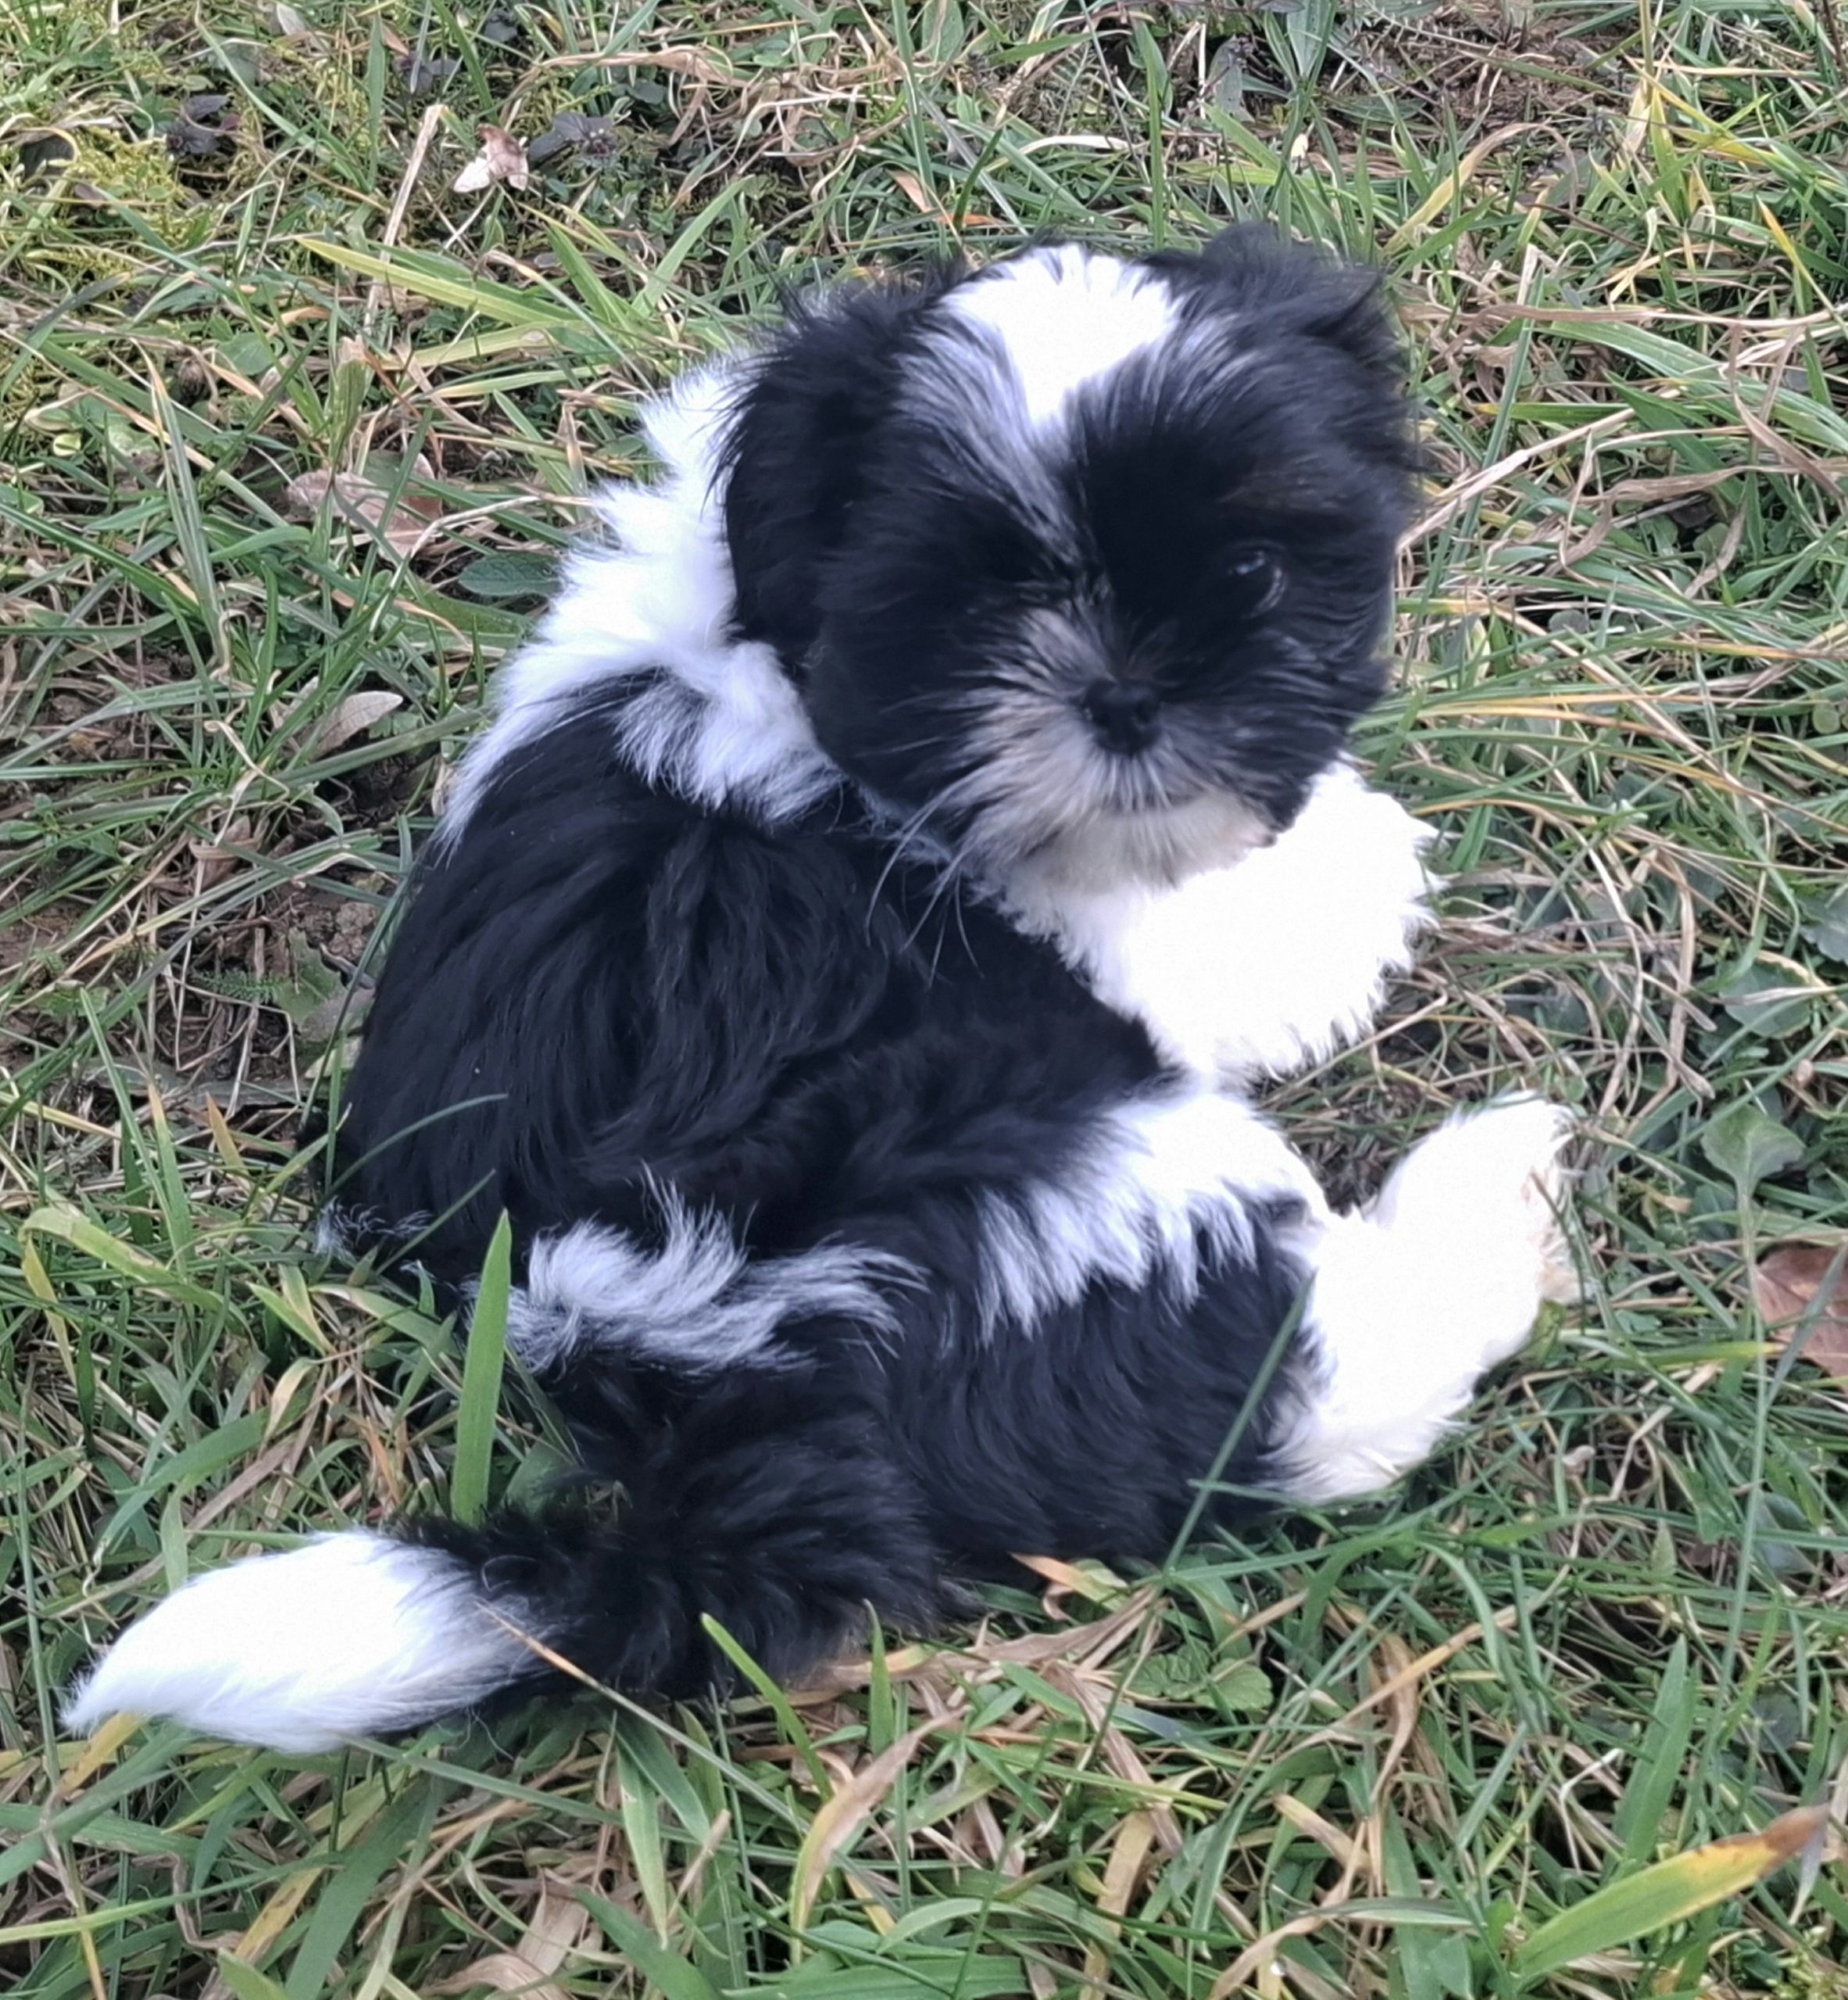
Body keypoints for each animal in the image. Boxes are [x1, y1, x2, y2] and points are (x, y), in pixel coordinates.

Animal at [68, 229, 1575, 1751]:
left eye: (1256, 570)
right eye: (966, 610)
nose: (1127, 694)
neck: (768, 646)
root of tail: (724, 1390)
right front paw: (1350, 878)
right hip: (1080, 1197)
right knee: (1306, 1380)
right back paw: (1488, 1197)